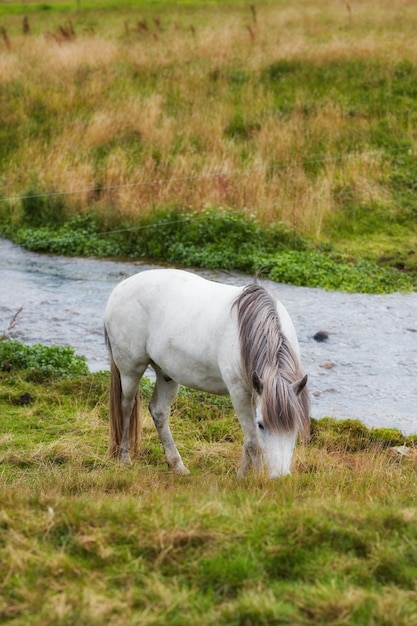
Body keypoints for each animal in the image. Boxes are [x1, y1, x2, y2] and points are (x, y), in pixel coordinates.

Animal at [102, 266, 308, 476]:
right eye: (262, 424)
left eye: (295, 427)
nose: (280, 477)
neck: (250, 331)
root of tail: (121, 287)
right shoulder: (239, 393)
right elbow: (253, 442)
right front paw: (255, 477)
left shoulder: (254, 392)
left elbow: (247, 440)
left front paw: (241, 476)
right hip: (131, 370)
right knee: (126, 406)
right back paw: (125, 458)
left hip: (167, 374)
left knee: (159, 412)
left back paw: (178, 466)